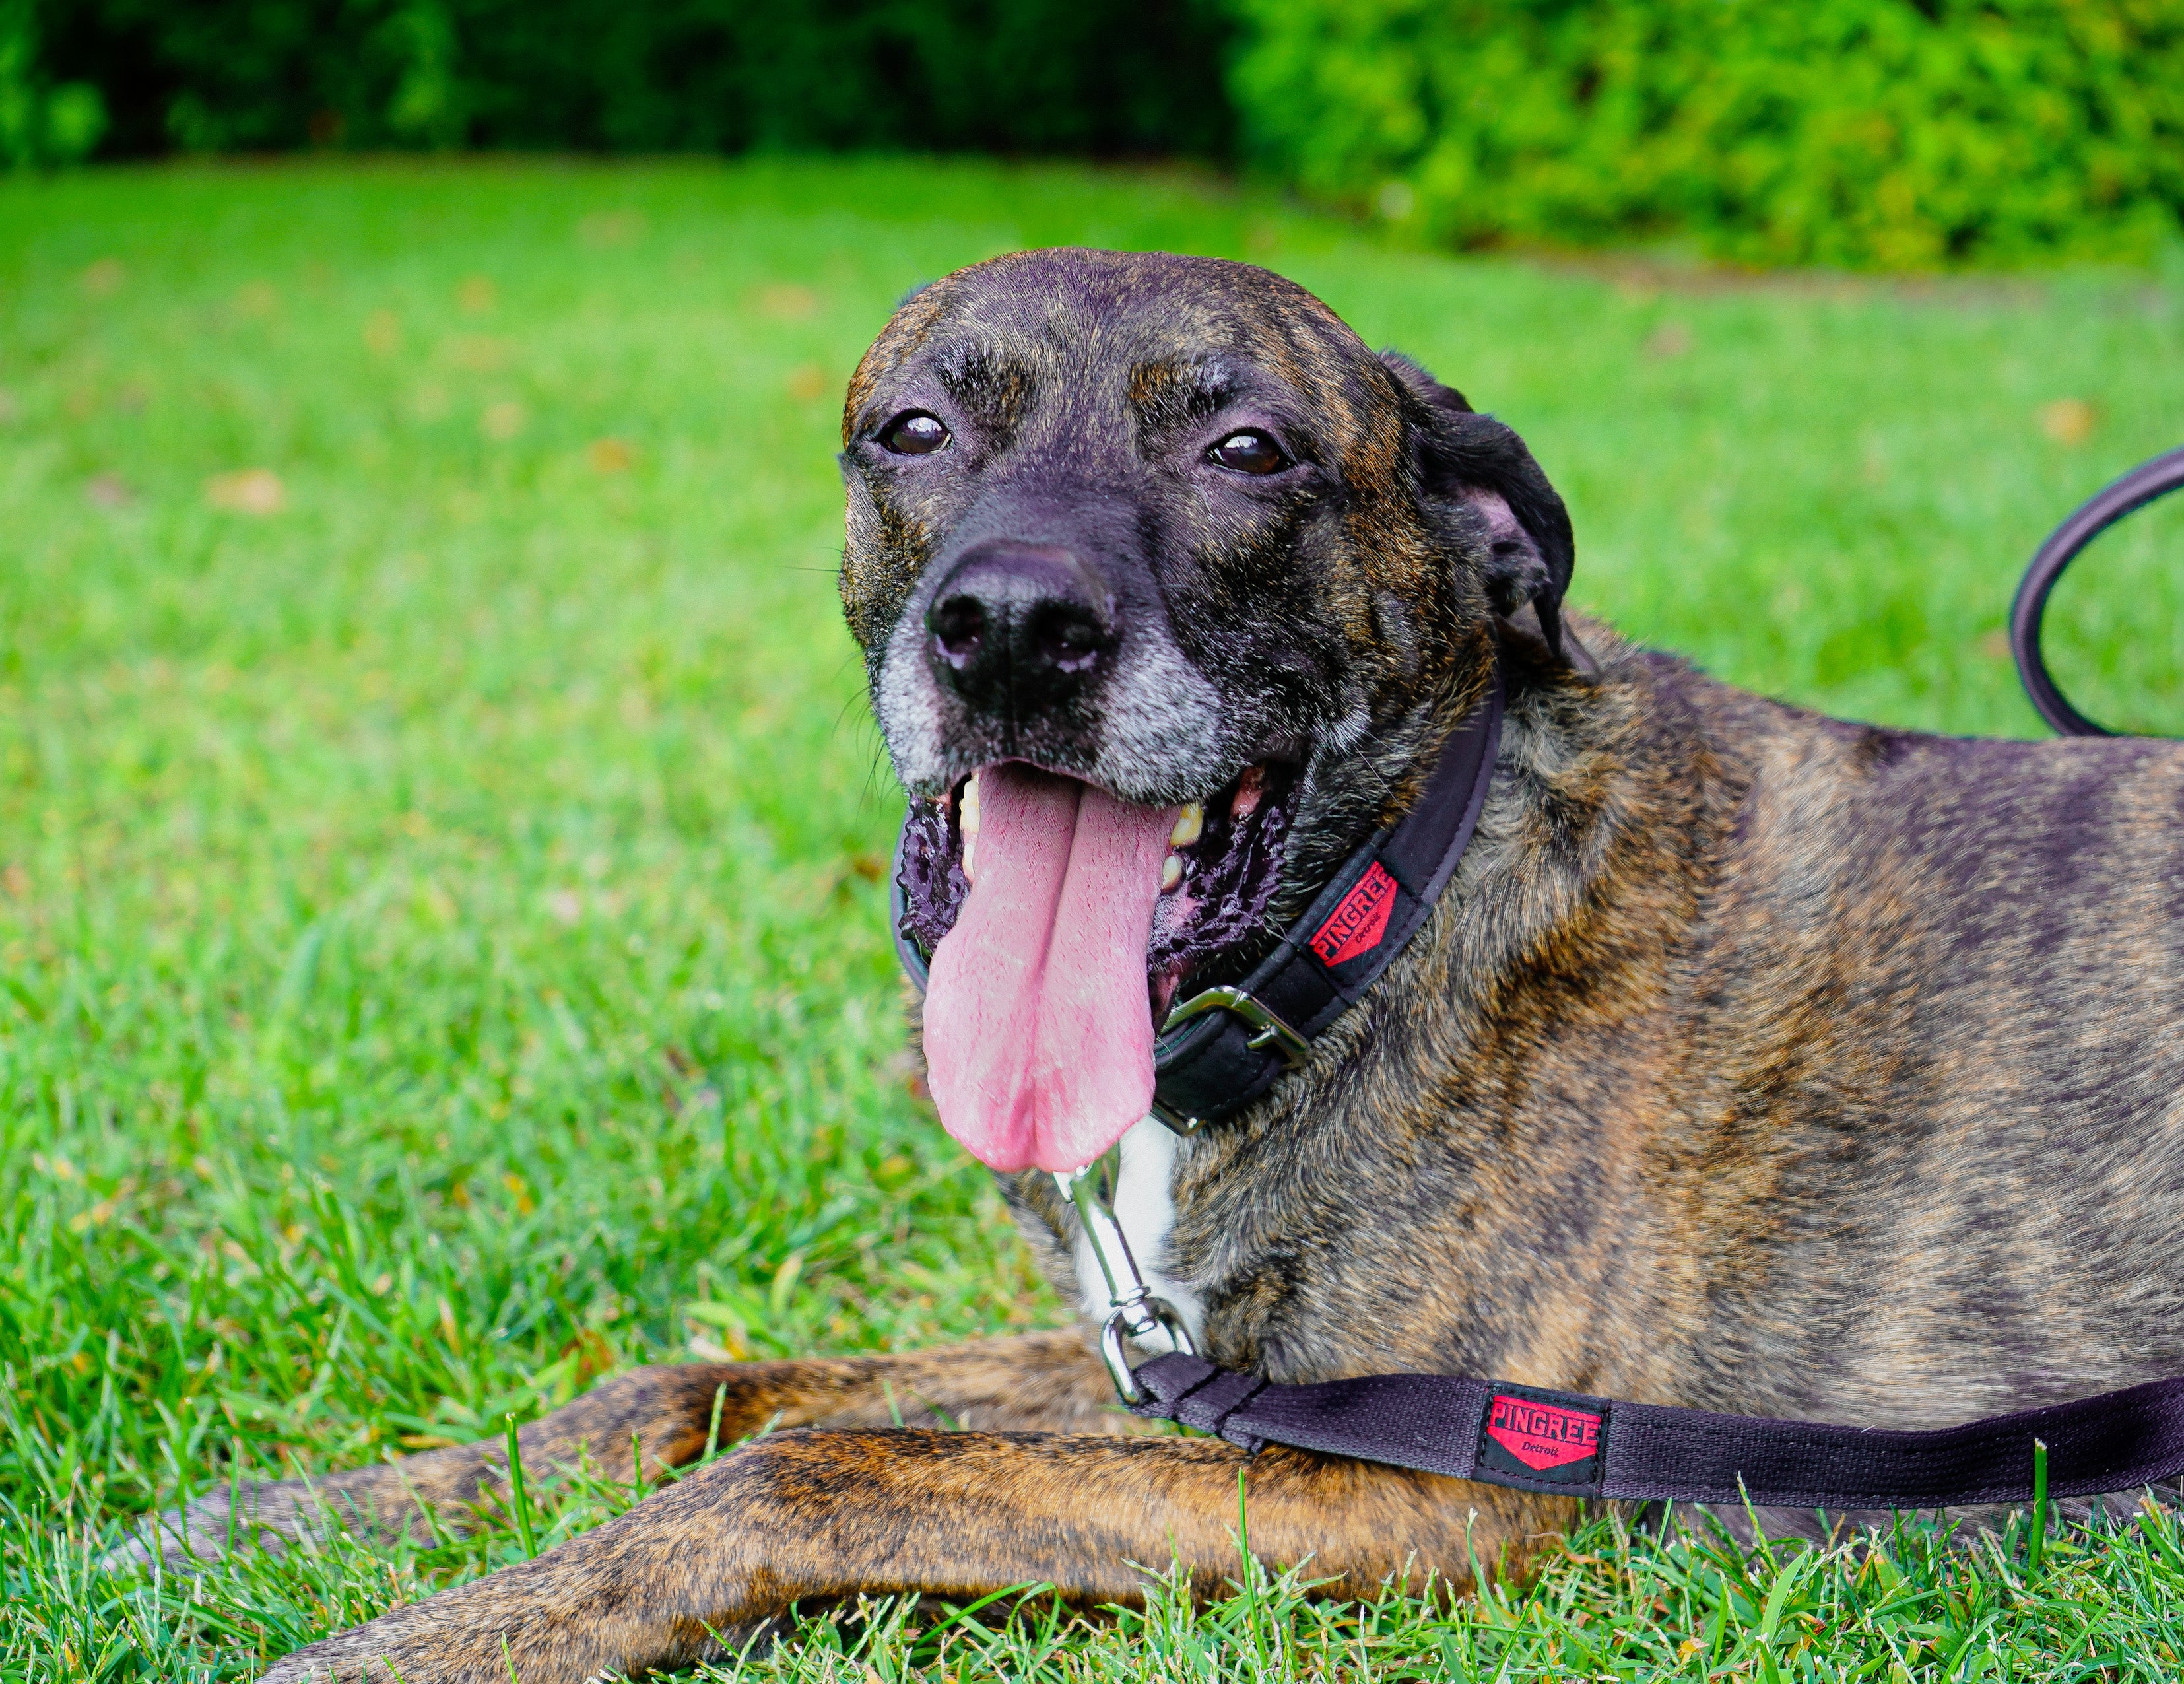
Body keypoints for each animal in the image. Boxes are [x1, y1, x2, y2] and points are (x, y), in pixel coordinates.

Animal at [149, 250, 2184, 1684]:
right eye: (915, 431)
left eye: (1245, 450)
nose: (1008, 631)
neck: (1380, 916)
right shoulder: (1167, 1370)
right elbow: (692, 1388)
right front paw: (295, 1514)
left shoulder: (1430, 1493)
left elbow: (819, 1460)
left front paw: (424, 1633)